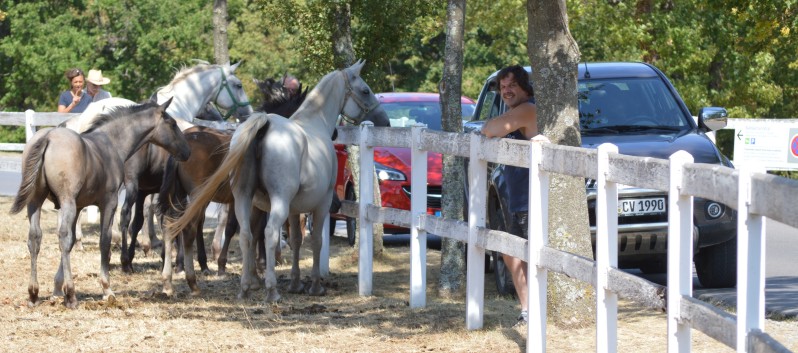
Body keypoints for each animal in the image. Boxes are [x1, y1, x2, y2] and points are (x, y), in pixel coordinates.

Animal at [9, 97, 191, 306]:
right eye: (173, 124)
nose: (187, 152)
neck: (112, 143)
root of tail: (48, 137)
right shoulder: (109, 202)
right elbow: (104, 241)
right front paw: (106, 289)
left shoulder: (79, 206)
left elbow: (72, 241)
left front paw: (57, 288)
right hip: (66, 201)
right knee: (62, 236)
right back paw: (71, 295)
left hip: (35, 201)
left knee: (35, 238)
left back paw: (33, 293)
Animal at [169, 60, 390, 300]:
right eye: (365, 90)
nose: (385, 121)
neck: (314, 122)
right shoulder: (320, 204)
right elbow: (315, 240)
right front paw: (314, 285)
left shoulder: (291, 208)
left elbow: (294, 239)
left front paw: (293, 282)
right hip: (270, 201)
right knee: (265, 232)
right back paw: (270, 289)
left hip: (241, 198)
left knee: (244, 234)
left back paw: (242, 288)